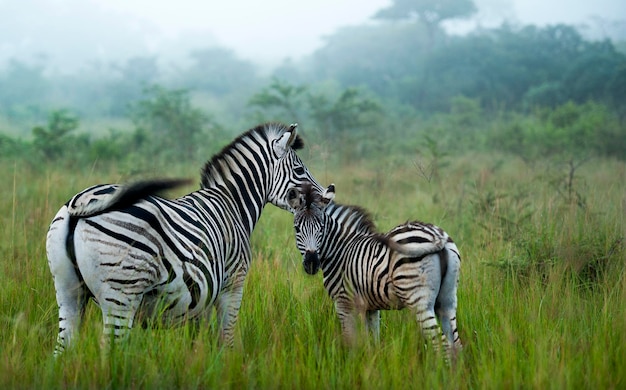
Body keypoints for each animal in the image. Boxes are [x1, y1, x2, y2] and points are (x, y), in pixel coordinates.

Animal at [45, 123, 324, 354]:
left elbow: (201, 343)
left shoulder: (203, 294)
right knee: (110, 350)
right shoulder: (233, 283)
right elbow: (227, 339)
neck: (233, 204)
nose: (324, 197)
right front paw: (231, 372)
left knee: (63, 348)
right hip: (121, 292)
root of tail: (79, 204)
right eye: (299, 169)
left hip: (66, 289)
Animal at [286, 184, 458, 362]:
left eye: (321, 228)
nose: (312, 262)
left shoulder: (344, 303)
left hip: (418, 300)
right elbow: (373, 342)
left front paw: (350, 365)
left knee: (442, 345)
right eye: (297, 229)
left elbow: (350, 341)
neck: (340, 250)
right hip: (447, 300)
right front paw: (373, 363)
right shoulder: (371, 307)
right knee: (455, 344)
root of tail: (436, 234)